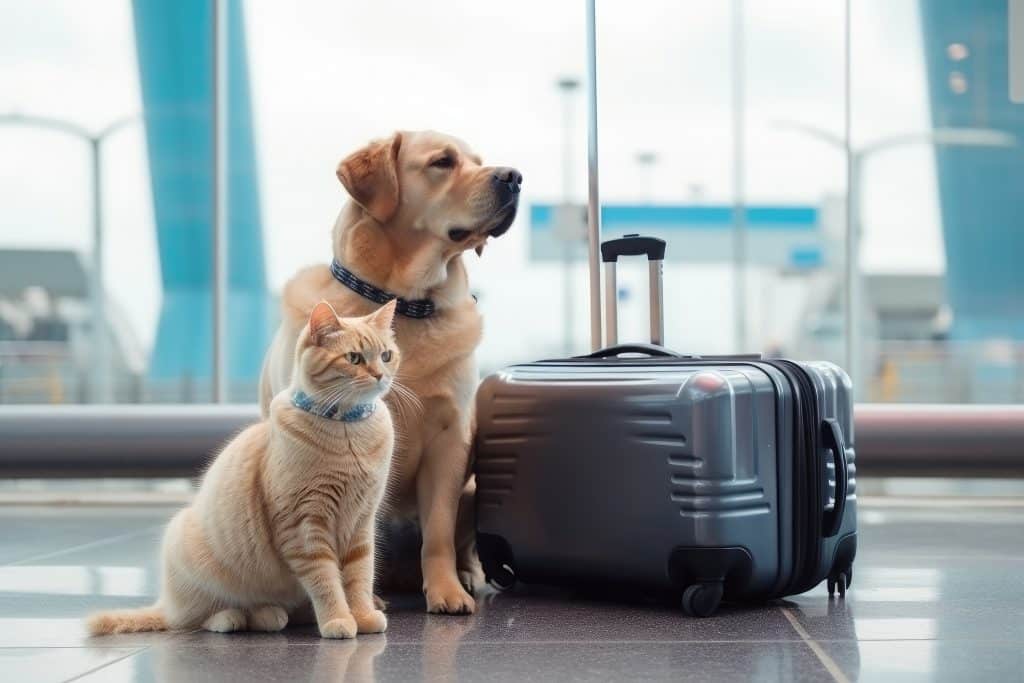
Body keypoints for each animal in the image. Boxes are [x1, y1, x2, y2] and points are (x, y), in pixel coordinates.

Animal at [89, 301, 399, 643]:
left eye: (386, 355)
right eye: (354, 358)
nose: (380, 375)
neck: (348, 430)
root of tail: (167, 604)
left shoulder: (361, 522)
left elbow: (359, 577)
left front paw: (363, 616)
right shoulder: (305, 526)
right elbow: (326, 581)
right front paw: (338, 620)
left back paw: (274, 614)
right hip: (186, 550)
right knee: (196, 618)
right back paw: (233, 618)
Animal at [258, 129, 520, 614]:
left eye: (479, 161)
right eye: (443, 161)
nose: (514, 177)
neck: (407, 305)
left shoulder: (449, 439)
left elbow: (438, 533)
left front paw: (446, 590)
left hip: (473, 486)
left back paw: (464, 575)